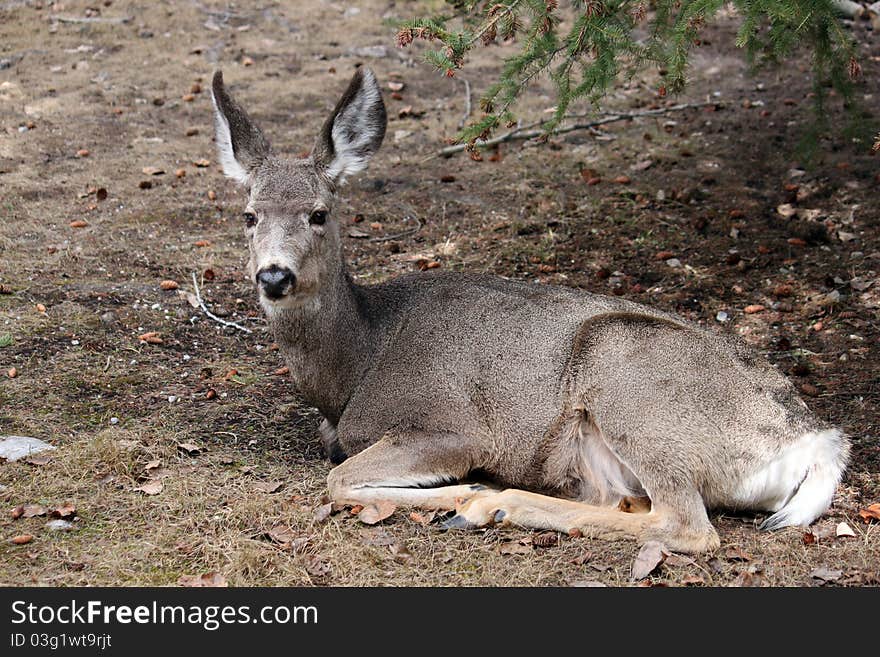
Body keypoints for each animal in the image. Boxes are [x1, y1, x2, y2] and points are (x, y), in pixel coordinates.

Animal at [210, 66, 848, 552]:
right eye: (249, 215)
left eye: (318, 213)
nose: (274, 276)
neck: (356, 361)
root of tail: (813, 439)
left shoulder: (451, 427)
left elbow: (337, 479)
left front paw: (466, 493)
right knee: (628, 501)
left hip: (628, 371)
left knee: (688, 525)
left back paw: (494, 506)